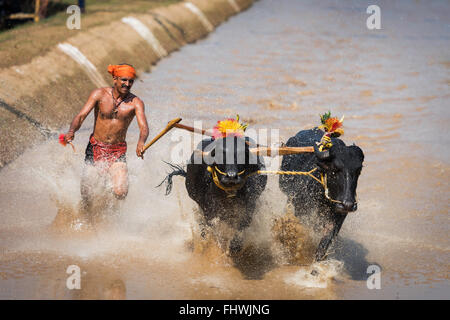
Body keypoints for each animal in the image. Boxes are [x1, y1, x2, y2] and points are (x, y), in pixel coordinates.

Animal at [280, 129, 364, 262]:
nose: (348, 205)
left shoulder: (338, 218)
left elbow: (326, 240)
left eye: (358, 170)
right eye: (334, 170)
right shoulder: (302, 211)